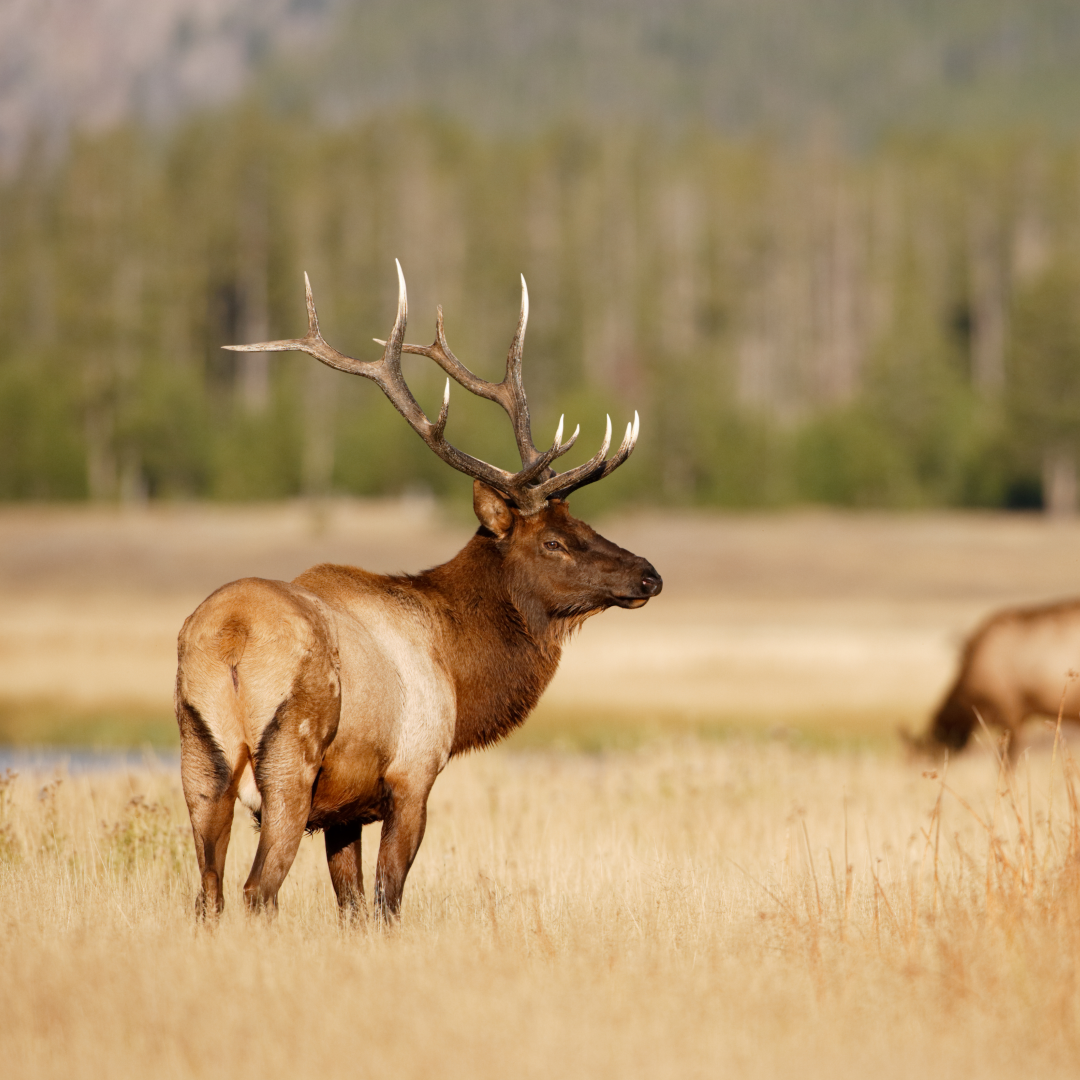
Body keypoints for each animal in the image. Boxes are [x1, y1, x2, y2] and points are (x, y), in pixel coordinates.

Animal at [175, 263, 662, 921]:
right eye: (555, 541)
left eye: (584, 524)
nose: (648, 574)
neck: (457, 663)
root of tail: (231, 638)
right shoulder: (412, 775)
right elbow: (387, 900)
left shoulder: (343, 809)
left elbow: (352, 906)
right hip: (290, 759)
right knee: (257, 891)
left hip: (199, 760)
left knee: (209, 895)